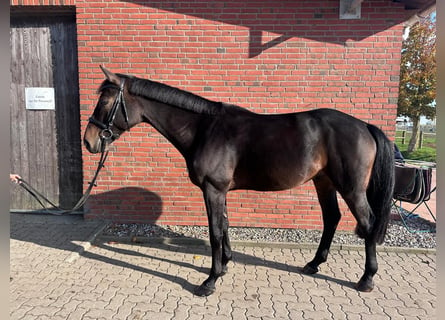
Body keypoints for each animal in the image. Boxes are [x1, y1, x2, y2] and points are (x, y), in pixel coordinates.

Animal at [85, 66, 394, 296]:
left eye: (105, 102)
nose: (89, 141)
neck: (204, 129)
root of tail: (364, 126)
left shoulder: (213, 189)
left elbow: (214, 231)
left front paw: (210, 280)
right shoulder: (220, 190)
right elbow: (224, 224)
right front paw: (224, 265)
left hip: (351, 187)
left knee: (367, 223)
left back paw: (366, 279)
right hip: (324, 181)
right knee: (331, 218)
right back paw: (314, 263)